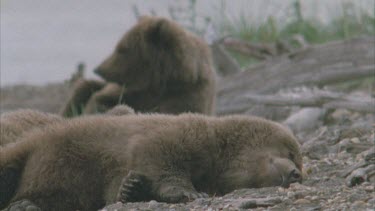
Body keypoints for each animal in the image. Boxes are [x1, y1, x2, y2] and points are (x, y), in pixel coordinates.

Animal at [0, 113, 302, 211]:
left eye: (298, 160)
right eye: (290, 152)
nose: (296, 173)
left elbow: (115, 187)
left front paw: (131, 188)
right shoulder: (181, 135)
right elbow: (160, 155)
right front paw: (188, 192)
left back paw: (25, 203)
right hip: (32, 149)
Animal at [60, 15, 216, 118]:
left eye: (122, 49)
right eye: (119, 46)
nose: (98, 69)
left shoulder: (186, 98)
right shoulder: (128, 91)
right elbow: (102, 98)